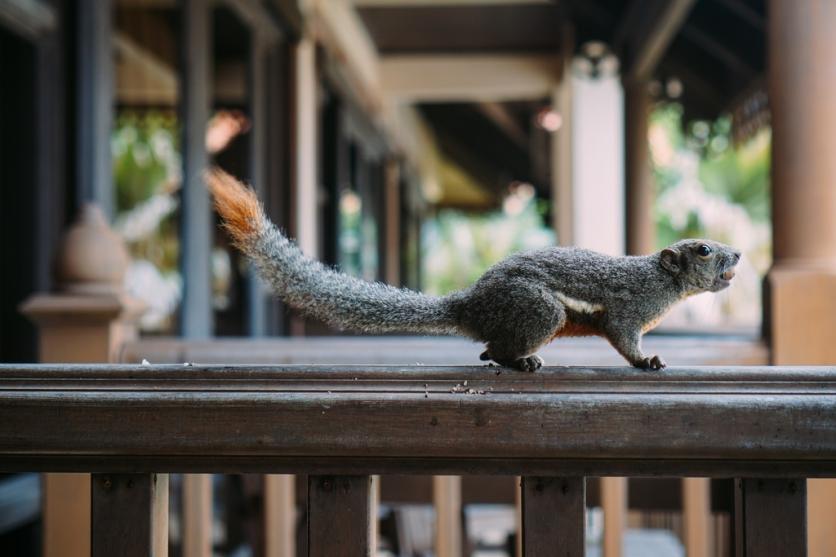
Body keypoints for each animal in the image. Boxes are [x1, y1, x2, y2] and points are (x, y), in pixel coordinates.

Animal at [206, 167, 740, 372]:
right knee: (496, 349)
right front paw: (646, 361)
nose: (737, 256)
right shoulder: (631, 308)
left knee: (487, 350)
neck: (663, 282)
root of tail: (471, 304)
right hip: (540, 310)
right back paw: (520, 361)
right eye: (704, 249)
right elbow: (624, 337)